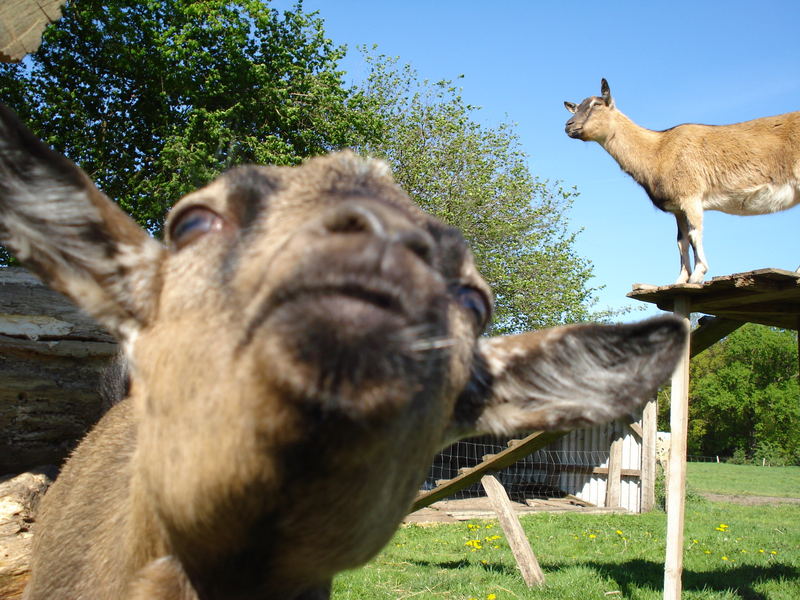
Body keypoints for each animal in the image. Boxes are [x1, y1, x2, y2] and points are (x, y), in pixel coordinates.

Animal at [564, 79, 800, 284]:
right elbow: (681, 242)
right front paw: (679, 280)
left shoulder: (691, 195)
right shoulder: (677, 207)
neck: (658, 150)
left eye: (597, 104)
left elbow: (695, 233)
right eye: (575, 108)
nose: (568, 126)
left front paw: (698, 275)